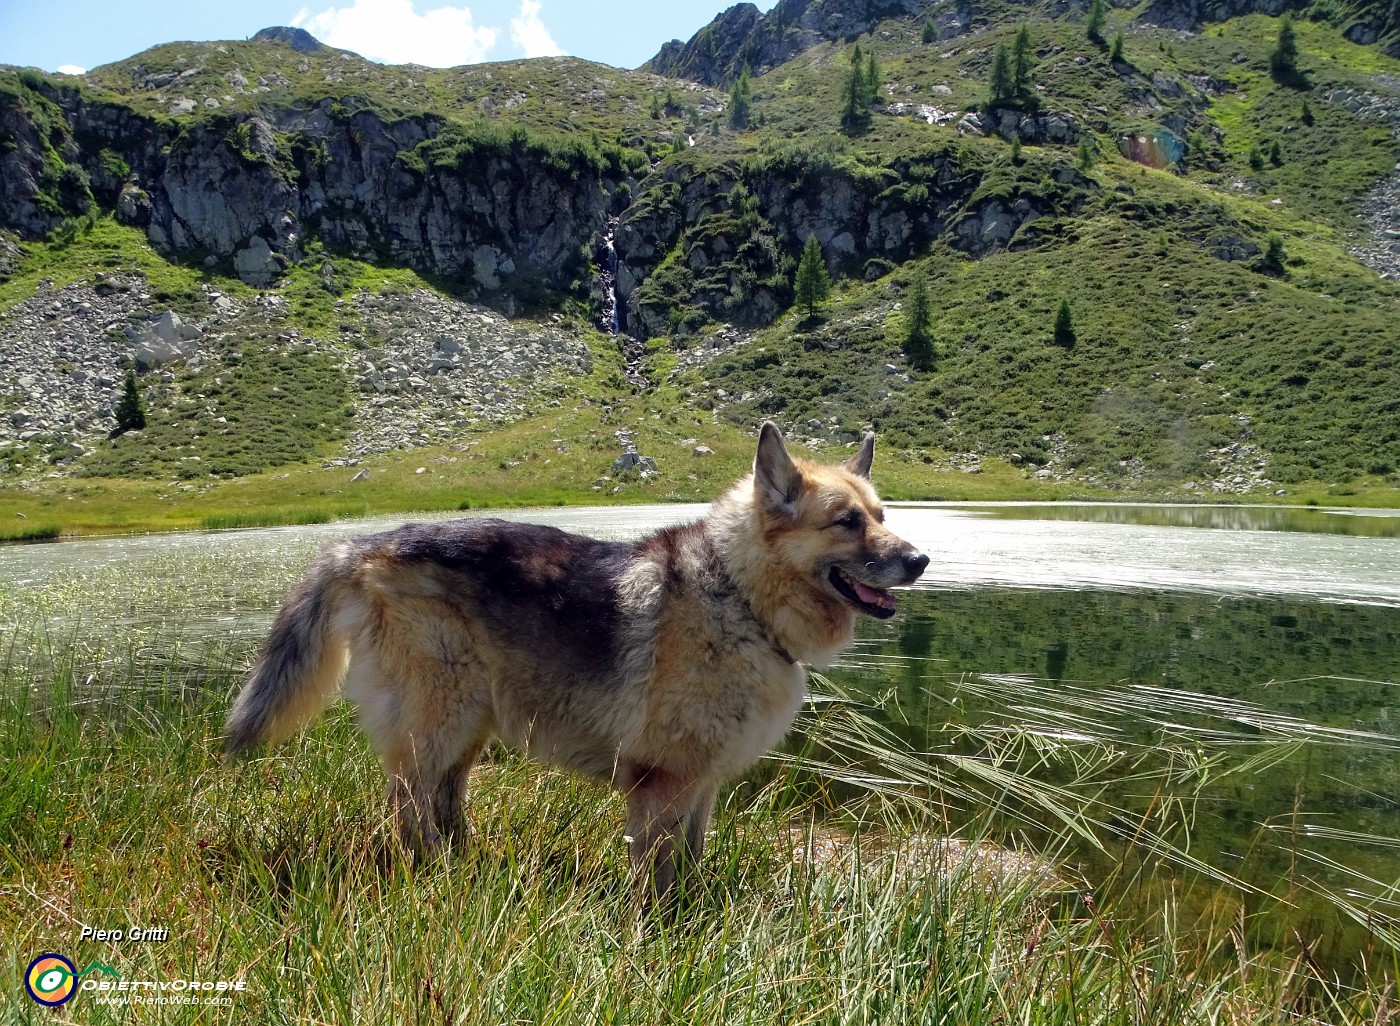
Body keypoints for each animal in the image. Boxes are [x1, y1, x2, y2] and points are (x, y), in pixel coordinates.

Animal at [224, 425, 929, 907]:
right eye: (846, 522)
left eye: (882, 516)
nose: (920, 559)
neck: (741, 595)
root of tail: (361, 544)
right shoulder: (663, 785)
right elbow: (659, 880)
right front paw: (662, 936)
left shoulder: (699, 786)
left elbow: (692, 861)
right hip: (439, 722)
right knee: (408, 807)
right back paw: (432, 881)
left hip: (470, 727)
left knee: (445, 803)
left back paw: (465, 870)